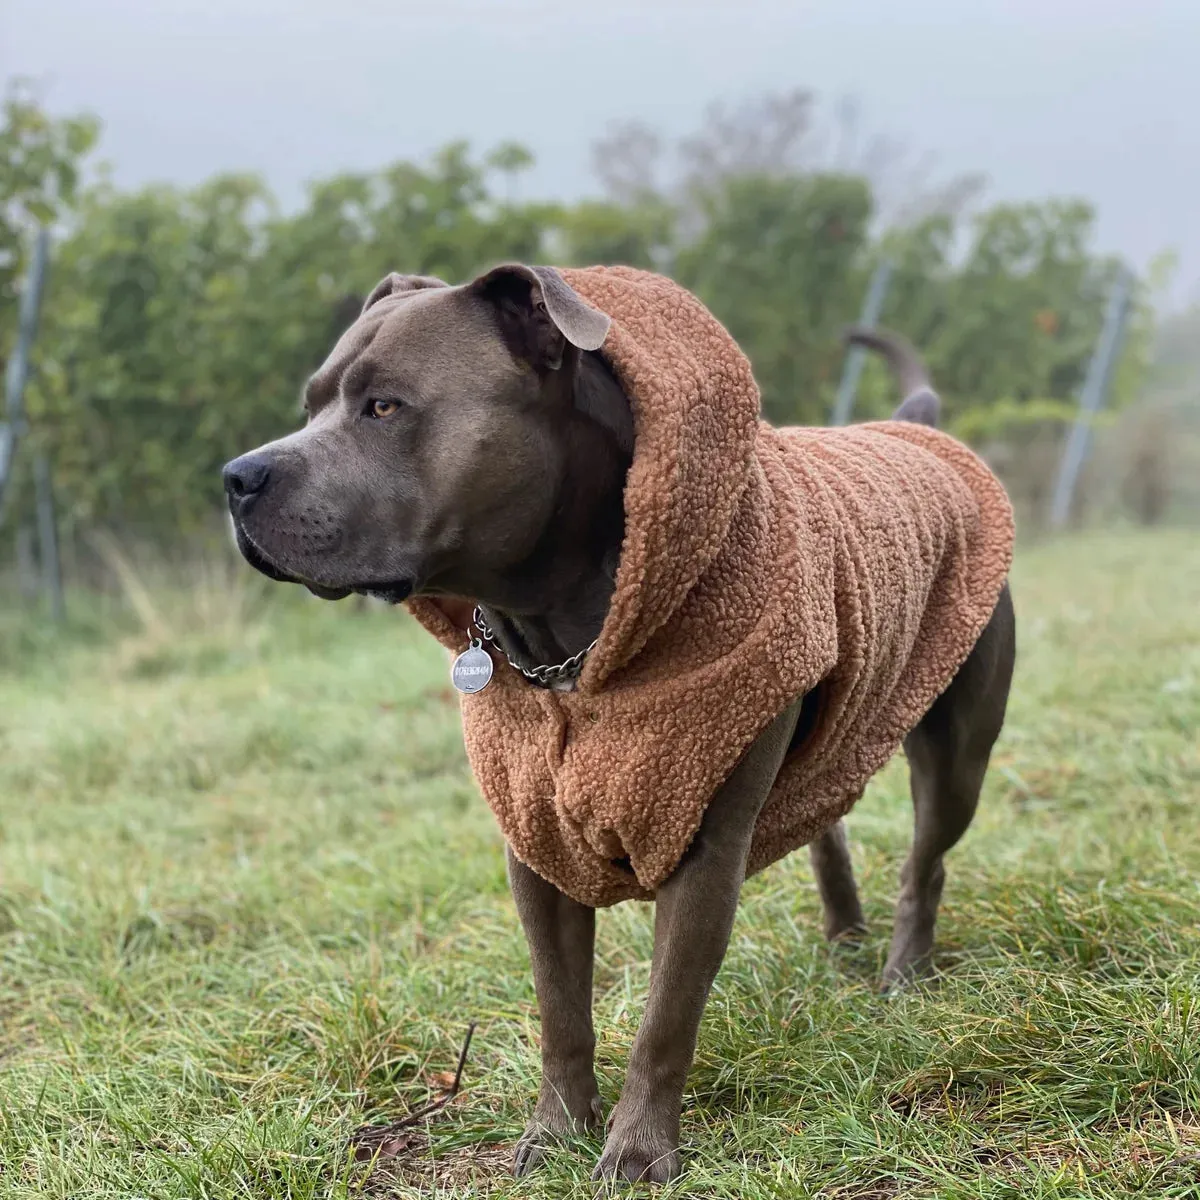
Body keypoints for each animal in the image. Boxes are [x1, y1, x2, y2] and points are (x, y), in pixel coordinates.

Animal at [225, 265, 1012, 1180]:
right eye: (312, 402)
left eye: (384, 407)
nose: (237, 477)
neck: (563, 647)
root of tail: (917, 427)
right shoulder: (534, 845)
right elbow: (560, 1009)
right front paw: (556, 1131)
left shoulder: (704, 851)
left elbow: (666, 1019)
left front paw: (638, 1149)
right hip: (837, 731)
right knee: (830, 825)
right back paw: (846, 943)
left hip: (955, 752)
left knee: (927, 861)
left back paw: (904, 973)